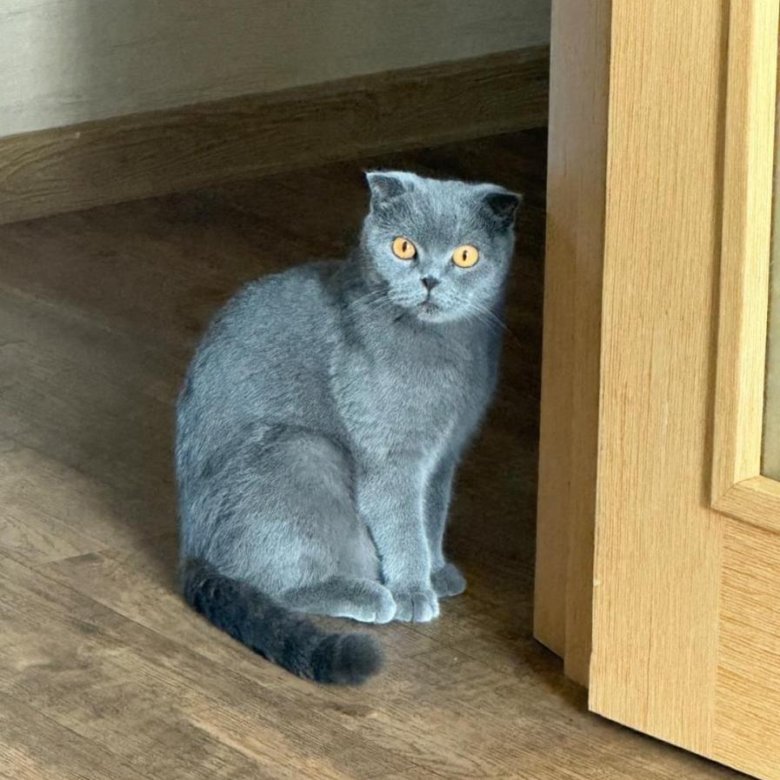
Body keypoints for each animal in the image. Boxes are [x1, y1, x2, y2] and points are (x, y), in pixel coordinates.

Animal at [176, 170, 520, 685]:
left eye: (465, 255)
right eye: (403, 247)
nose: (429, 279)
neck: (451, 351)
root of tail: (192, 548)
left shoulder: (444, 455)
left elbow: (432, 514)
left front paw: (436, 570)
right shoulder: (392, 458)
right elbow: (402, 523)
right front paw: (414, 590)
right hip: (303, 452)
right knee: (273, 580)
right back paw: (370, 594)